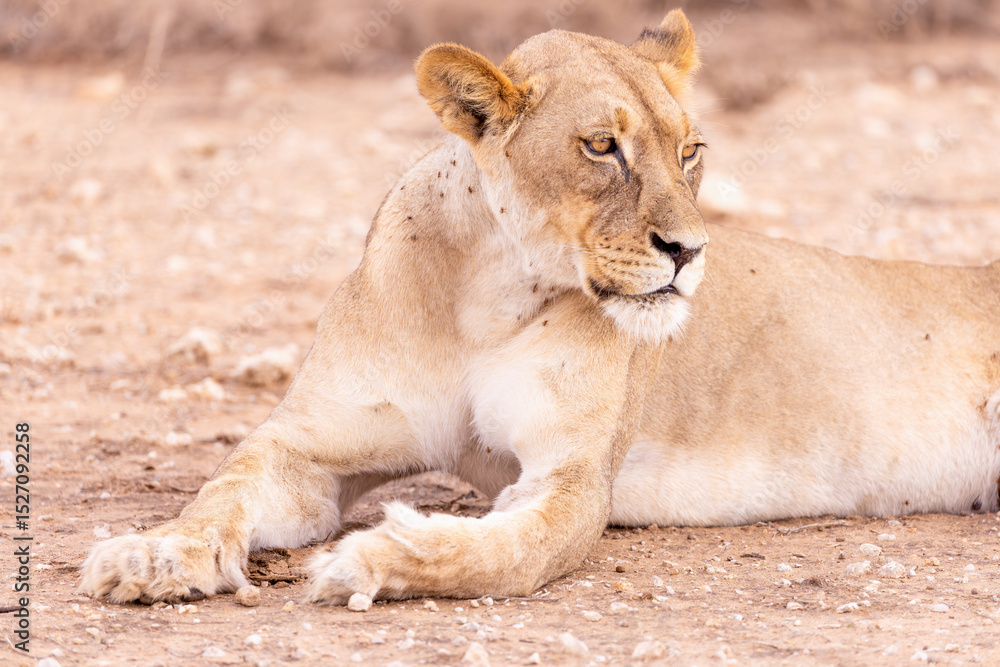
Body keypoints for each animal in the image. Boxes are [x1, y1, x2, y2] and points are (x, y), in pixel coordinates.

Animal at [80, 10, 1000, 606]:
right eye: (602, 146)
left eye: (690, 151)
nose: (690, 251)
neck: (487, 295)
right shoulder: (308, 445)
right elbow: (220, 488)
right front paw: (151, 554)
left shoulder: (572, 477)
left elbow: (503, 552)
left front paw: (378, 556)